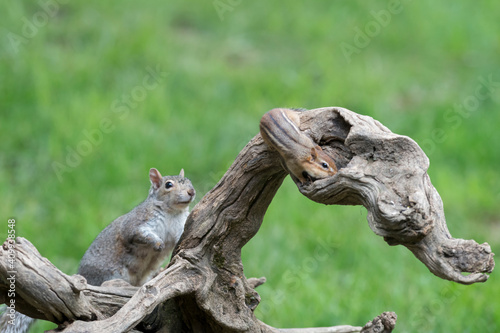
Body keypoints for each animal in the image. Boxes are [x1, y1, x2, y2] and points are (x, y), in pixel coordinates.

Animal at [0, 167, 195, 332]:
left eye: (189, 181)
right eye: (168, 185)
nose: (192, 192)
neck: (172, 213)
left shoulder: (179, 229)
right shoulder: (138, 223)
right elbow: (139, 234)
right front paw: (157, 243)